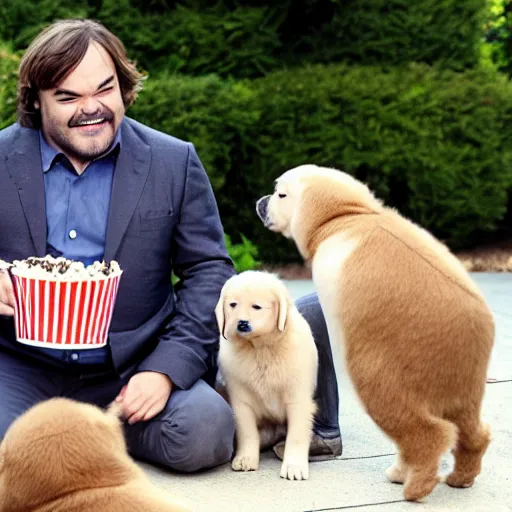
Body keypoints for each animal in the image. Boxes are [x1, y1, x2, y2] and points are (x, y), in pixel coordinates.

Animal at [215, 272, 318, 480]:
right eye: (233, 304)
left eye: (256, 306)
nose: (242, 323)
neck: (260, 348)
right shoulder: (240, 399)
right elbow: (247, 431)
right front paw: (245, 458)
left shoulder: (298, 397)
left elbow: (297, 434)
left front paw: (294, 466)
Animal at [256, 166, 496, 502]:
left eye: (280, 194)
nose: (261, 201)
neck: (345, 217)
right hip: (464, 374)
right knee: (468, 424)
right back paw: (458, 477)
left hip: (390, 359)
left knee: (416, 424)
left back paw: (414, 485)